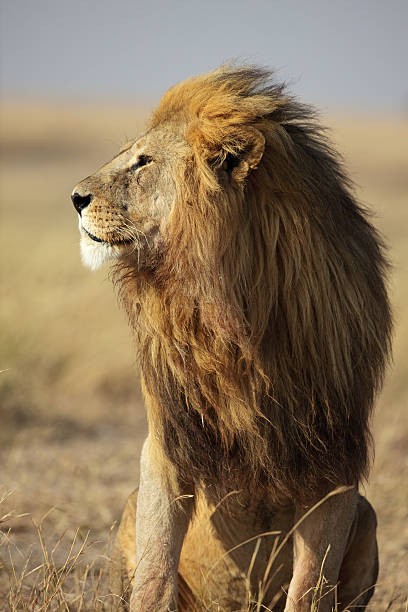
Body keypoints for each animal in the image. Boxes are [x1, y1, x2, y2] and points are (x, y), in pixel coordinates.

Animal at [71, 67, 390, 612]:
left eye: (144, 162)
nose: (74, 197)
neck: (233, 317)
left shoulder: (336, 460)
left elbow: (309, 587)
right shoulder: (168, 442)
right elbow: (155, 574)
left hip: (367, 515)